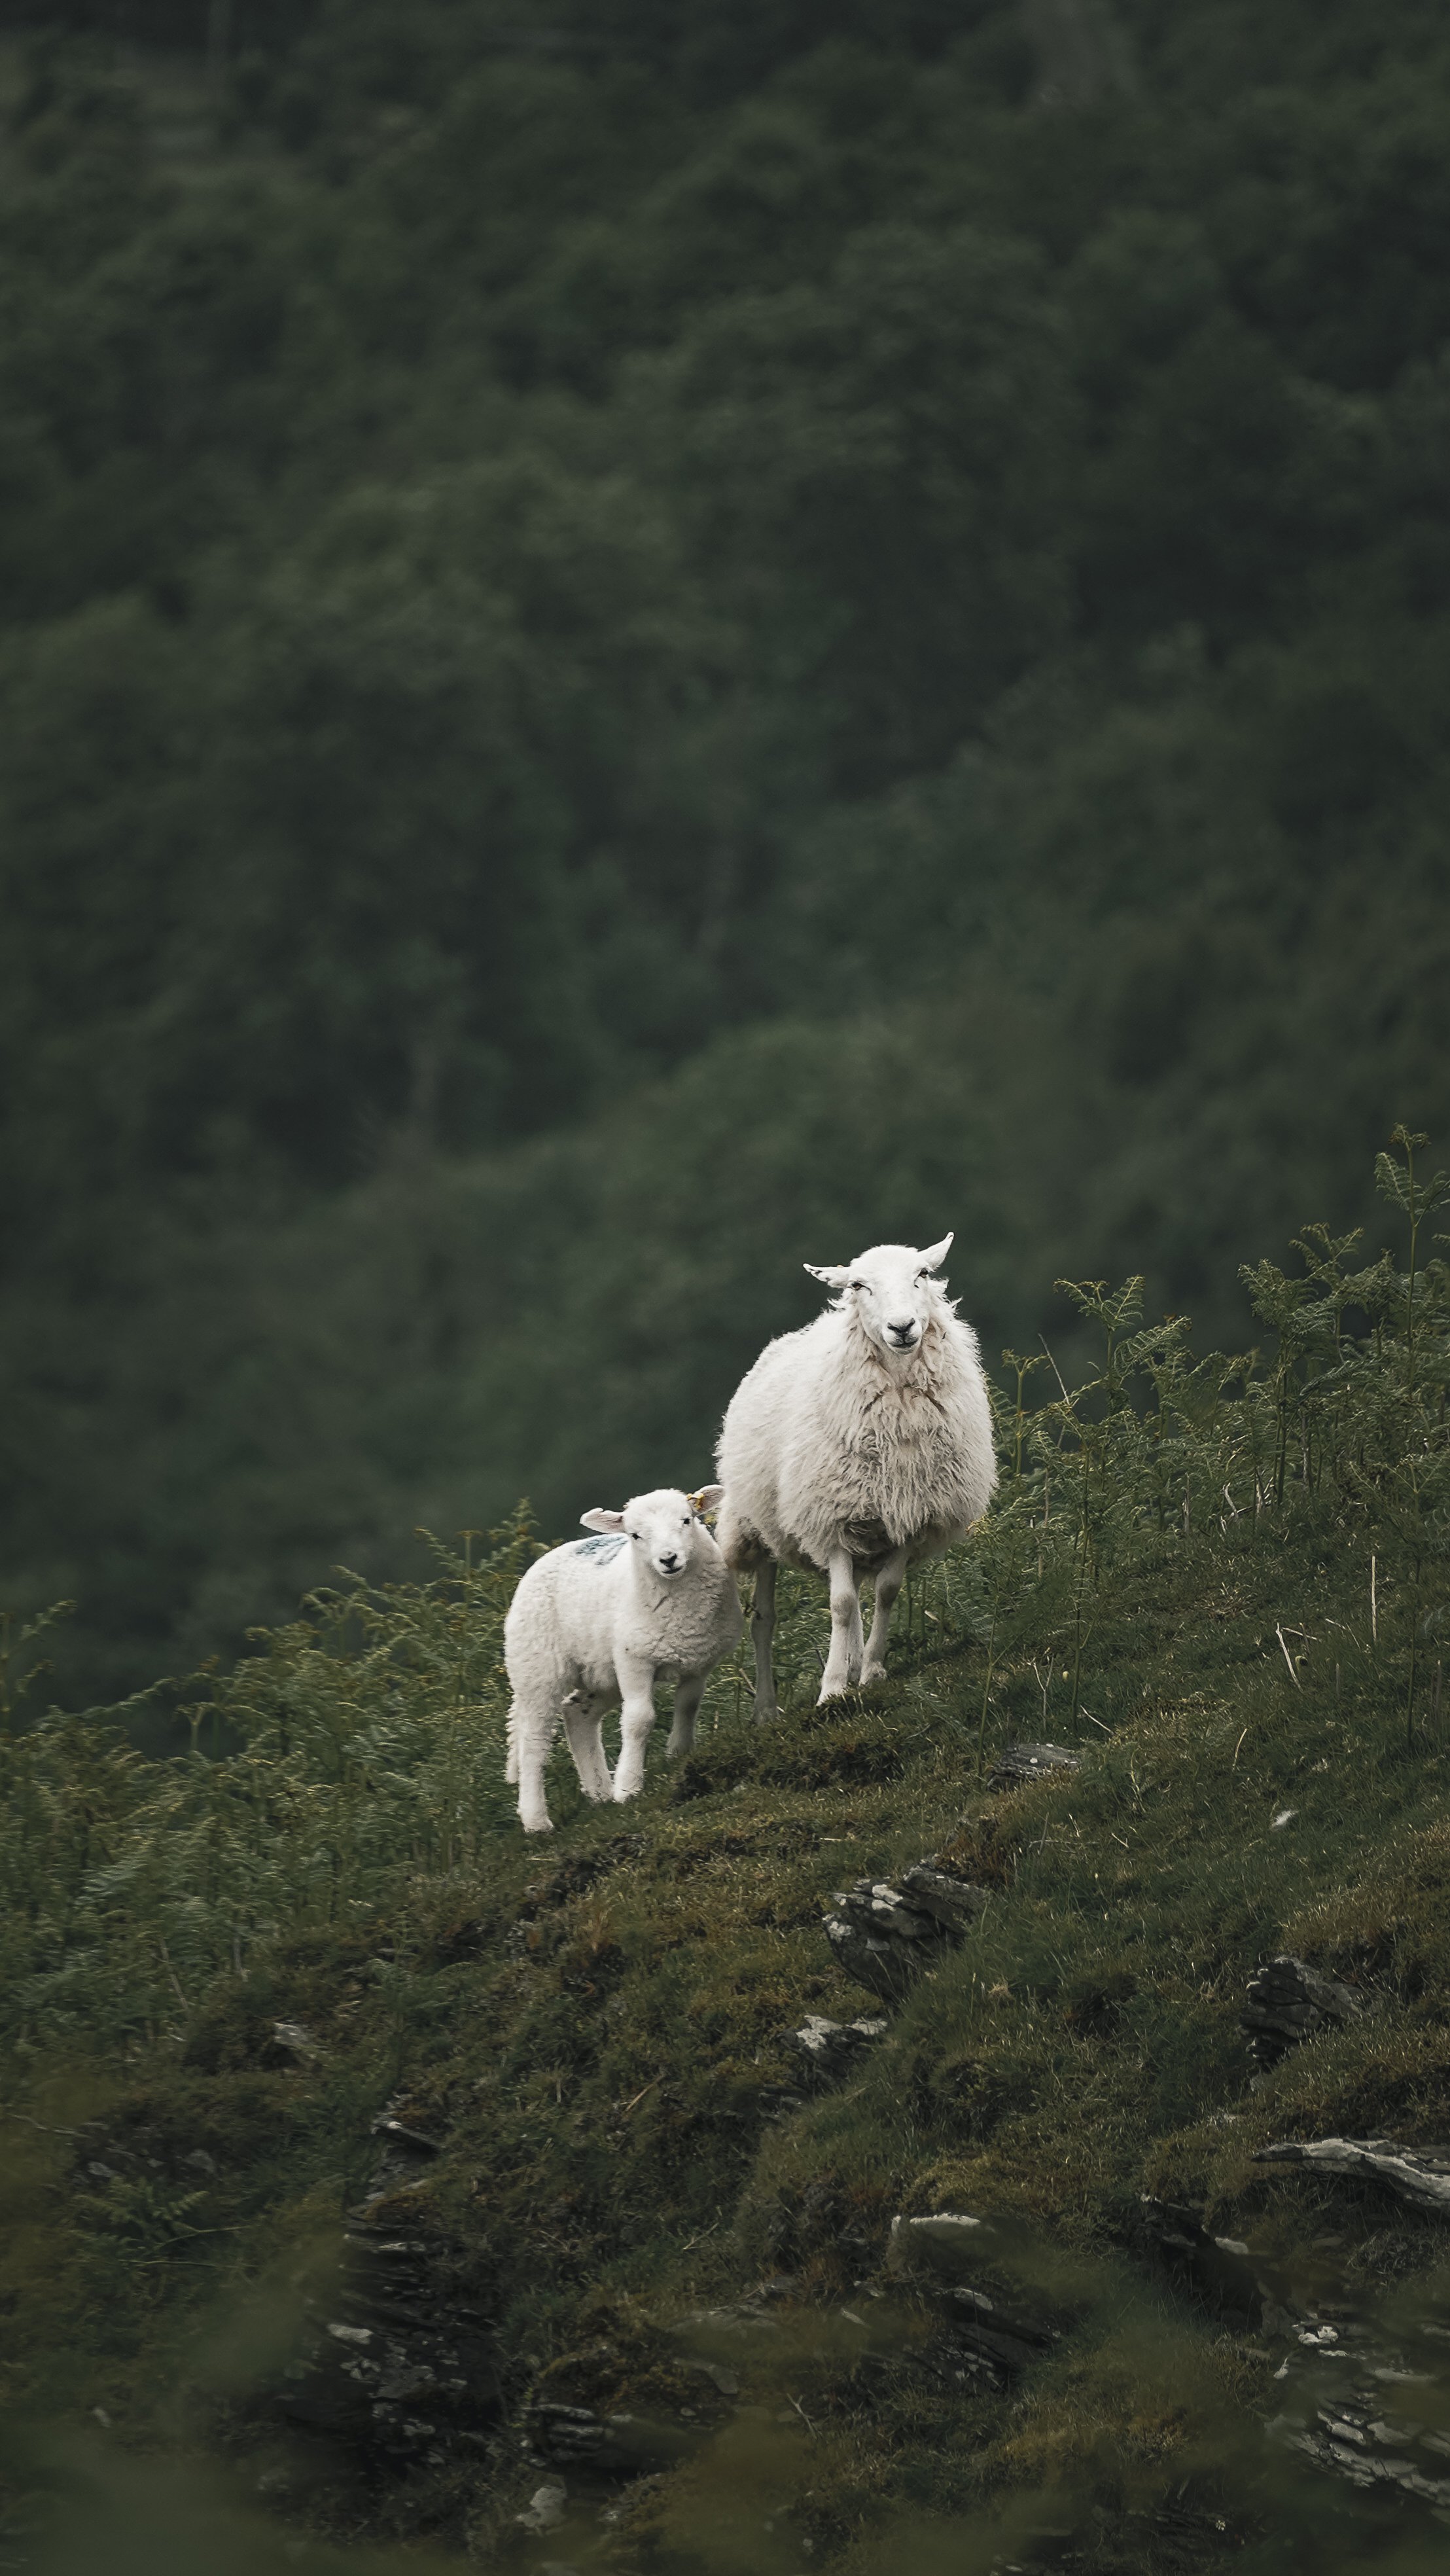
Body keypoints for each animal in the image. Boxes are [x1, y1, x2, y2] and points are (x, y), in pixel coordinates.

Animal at [503, 1484, 742, 1834]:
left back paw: (600, 1791)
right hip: (538, 1665)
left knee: (578, 1715)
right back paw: (536, 1820)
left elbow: (688, 1706)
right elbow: (639, 1719)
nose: (668, 1559)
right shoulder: (635, 1661)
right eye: (635, 1535)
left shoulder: (698, 1661)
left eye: (687, 1520)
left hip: (602, 1671)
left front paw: (679, 1754)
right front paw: (629, 1787)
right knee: (533, 1740)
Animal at [714, 1234, 996, 1713]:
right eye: (859, 1285)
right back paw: (767, 1708)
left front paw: (871, 1673)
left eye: (922, 1274)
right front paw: (830, 1689)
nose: (902, 1327)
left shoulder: (909, 1516)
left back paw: (853, 1664)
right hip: (757, 1527)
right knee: (764, 1621)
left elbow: (886, 1594)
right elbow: (843, 1604)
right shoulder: (833, 1518)